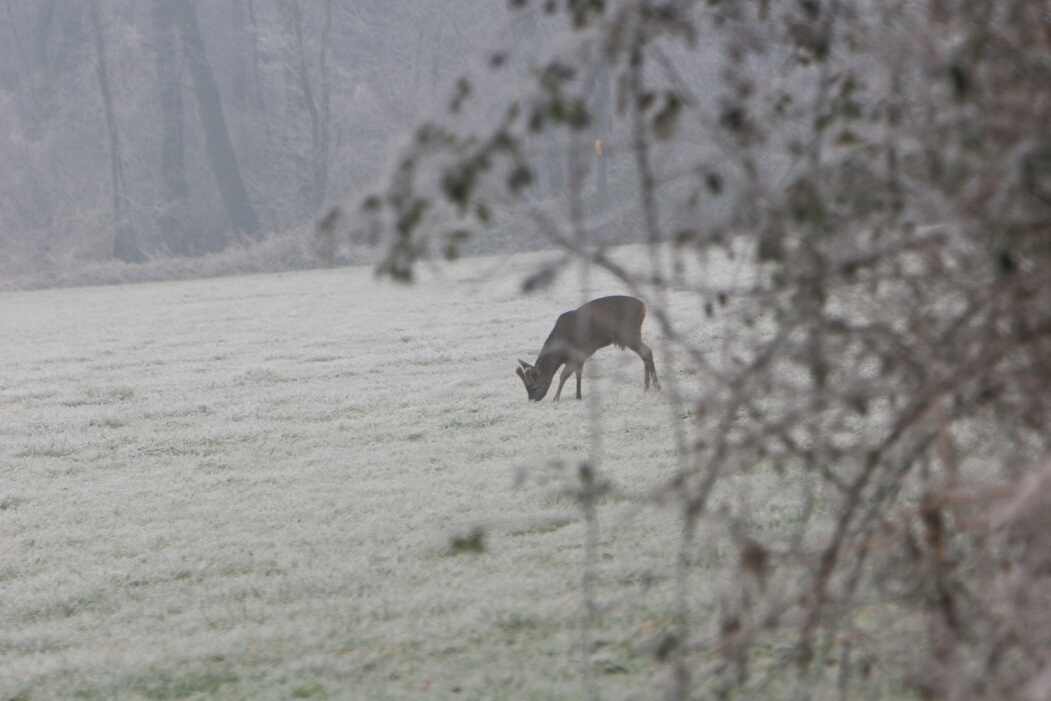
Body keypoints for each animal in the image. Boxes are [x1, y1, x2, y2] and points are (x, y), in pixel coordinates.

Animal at [514, 294, 655, 403]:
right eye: (526, 388)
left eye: (534, 387)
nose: (532, 400)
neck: (561, 352)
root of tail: (644, 307)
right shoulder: (580, 357)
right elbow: (578, 374)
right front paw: (578, 397)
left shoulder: (578, 352)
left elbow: (564, 375)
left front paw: (556, 399)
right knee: (646, 353)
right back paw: (647, 387)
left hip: (629, 333)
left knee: (647, 352)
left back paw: (655, 386)